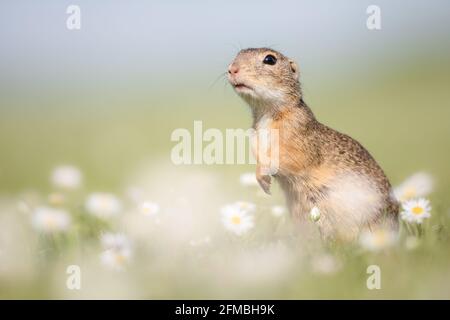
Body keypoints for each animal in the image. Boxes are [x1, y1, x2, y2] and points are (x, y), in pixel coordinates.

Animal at [227, 48, 400, 241]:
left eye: (270, 59)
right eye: (237, 54)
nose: (232, 69)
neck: (266, 113)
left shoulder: (298, 143)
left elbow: (287, 159)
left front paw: (265, 177)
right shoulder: (256, 141)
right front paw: (261, 180)